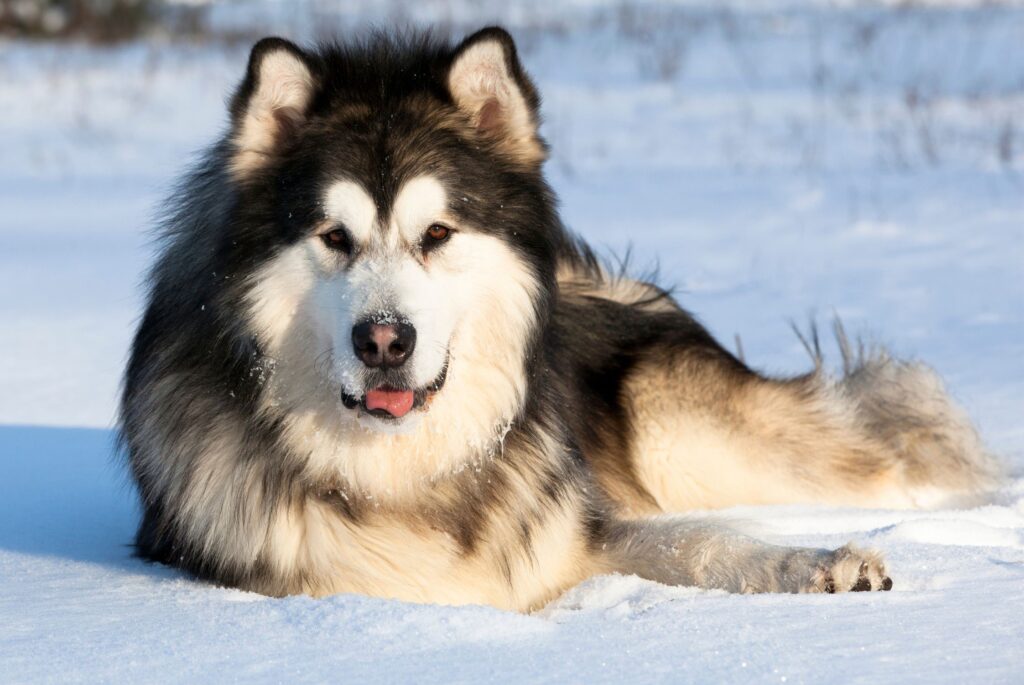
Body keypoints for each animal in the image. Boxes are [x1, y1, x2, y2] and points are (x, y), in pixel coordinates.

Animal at [119, 26, 999, 610]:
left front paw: (818, 563)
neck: (408, 470)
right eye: (334, 237)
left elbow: (704, 541)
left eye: (437, 234)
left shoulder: (578, 525)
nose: (384, 341)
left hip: (687, 432)